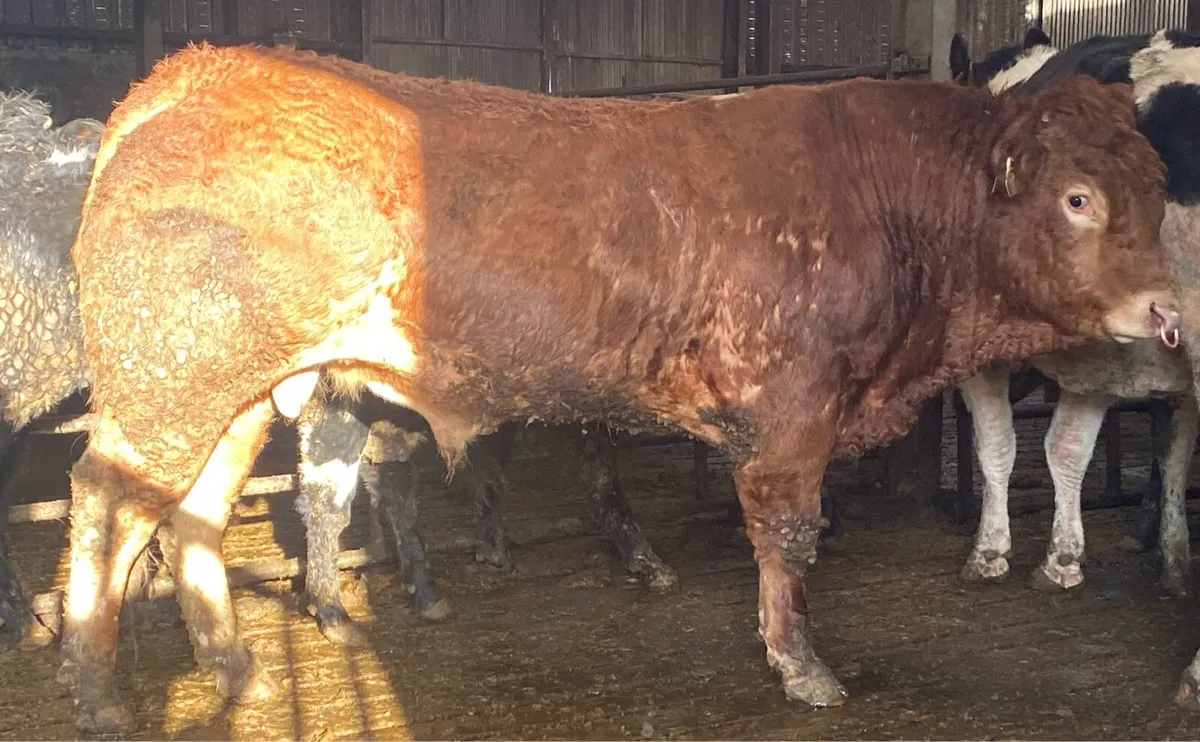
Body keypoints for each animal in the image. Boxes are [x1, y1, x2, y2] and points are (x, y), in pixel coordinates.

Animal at [56, 44, 1176, 733]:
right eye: (1078, 198)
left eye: (1159, 186)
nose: (1169, 308)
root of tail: (196, 71)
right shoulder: (791, 413)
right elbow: (786, 537)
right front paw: (802, 666)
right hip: (168, 384)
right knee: (107, 505)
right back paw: (97, 687)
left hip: (233, 395)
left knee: (194, 512)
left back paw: (229, 667)